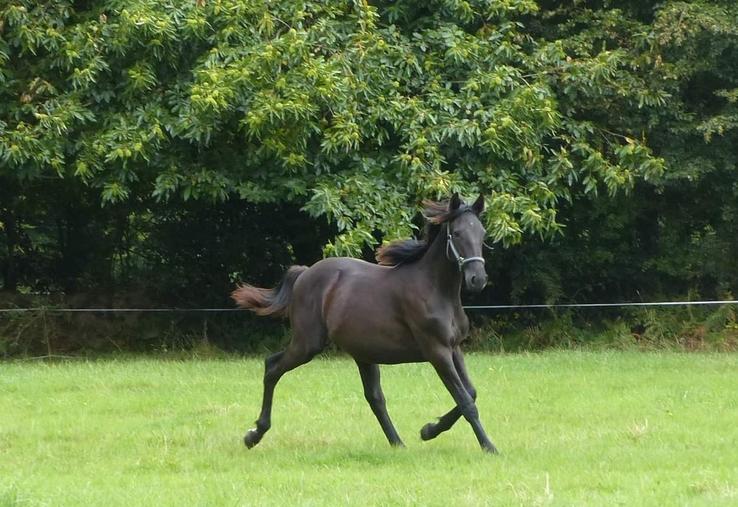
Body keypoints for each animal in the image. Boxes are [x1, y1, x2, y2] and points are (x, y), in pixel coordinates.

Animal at [233, 193, 498, 452]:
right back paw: (254, 435)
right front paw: (489, 446)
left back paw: (398, 444)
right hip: (308, 344)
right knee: (272, 368)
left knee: (374, 397)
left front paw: (429, 430)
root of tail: (304, 273)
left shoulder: (454, 348)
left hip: (362, 353)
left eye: (482, 233)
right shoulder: (437, 351)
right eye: (457, 233)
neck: (435, 289)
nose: (477, 279)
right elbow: (465, 401)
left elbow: (471, 392)